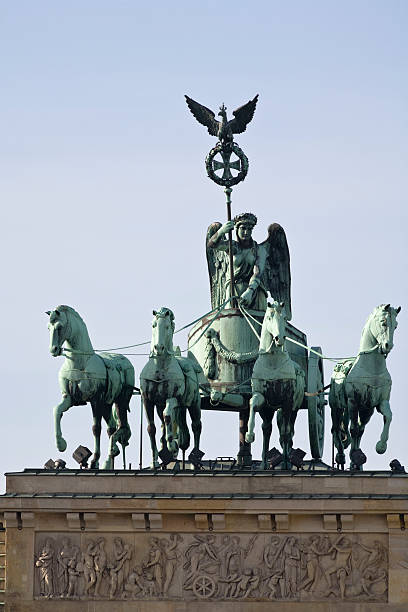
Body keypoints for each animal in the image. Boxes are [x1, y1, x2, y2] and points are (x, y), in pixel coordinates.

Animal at [47, 306, 134, 468]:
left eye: (60, 327)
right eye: (48, 327)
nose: (53, 350)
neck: (79, 362)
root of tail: (126, 361)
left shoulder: (95, 400)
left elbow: (96, 429)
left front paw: (94, 460)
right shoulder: (69, 399)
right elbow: (57, 411)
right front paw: (61, 444)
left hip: (121, 401)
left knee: (122, 427)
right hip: (107, 404)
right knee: (112, 428)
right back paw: (110, 457)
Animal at [141, 308, 203, 466]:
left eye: (167, 326)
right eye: (153, 325)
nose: (158, 348)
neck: (160, 369)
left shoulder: (172, 398)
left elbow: (168, 416)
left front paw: (172, 445)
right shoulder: (147, 401)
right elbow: (151, 428)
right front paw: (155, 461)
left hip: (194, 403)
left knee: (196, 426)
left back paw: (195, 456)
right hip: (163, 406)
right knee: (163, 424)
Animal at [244, 302, 304, 468]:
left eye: (284, 318)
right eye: (269, 317)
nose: (279, 338)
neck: (272, 362)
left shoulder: (288, 401)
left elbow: (285, 433)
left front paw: (285, 463)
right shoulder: (262, 398)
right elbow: (252, 403)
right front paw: (249, 435)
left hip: (293, 408)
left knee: (288, 431)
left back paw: (286, 460)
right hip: (269, 410)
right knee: (267, 429)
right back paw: (264, 463)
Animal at [330, 302, 400, 468]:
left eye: (396, 326)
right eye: (383, 322)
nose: (388, 345)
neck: (372, 370)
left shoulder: (378, 403)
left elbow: (388, 417)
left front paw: (380, 446)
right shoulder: (353, 401)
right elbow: (353, 429)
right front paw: (353, 455)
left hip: (364, 411)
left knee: (358, 430)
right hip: (337, 407)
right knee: (336, 429)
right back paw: (341, 456)